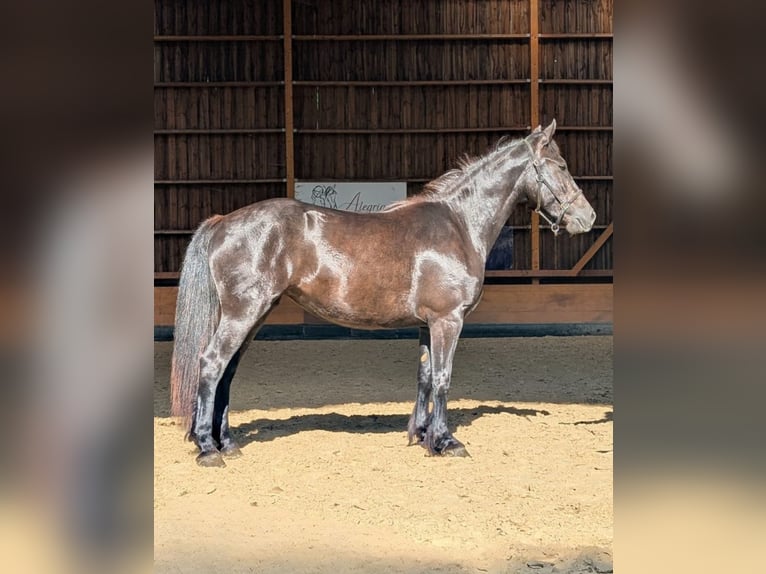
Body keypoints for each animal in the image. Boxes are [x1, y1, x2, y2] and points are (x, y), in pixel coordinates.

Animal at [170, 120, 596, 467]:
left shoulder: (428, 323)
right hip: (243, 314)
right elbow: (443, 378)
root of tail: (223, 221)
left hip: (254, 314)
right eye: (561, 166)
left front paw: (421, 436)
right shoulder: (448, 320)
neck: (458, 224)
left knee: (227, 372)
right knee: (212, 364)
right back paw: (207, 448)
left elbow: (425, 376)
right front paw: (446, 442)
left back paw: (227, 443)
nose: (588, 217)